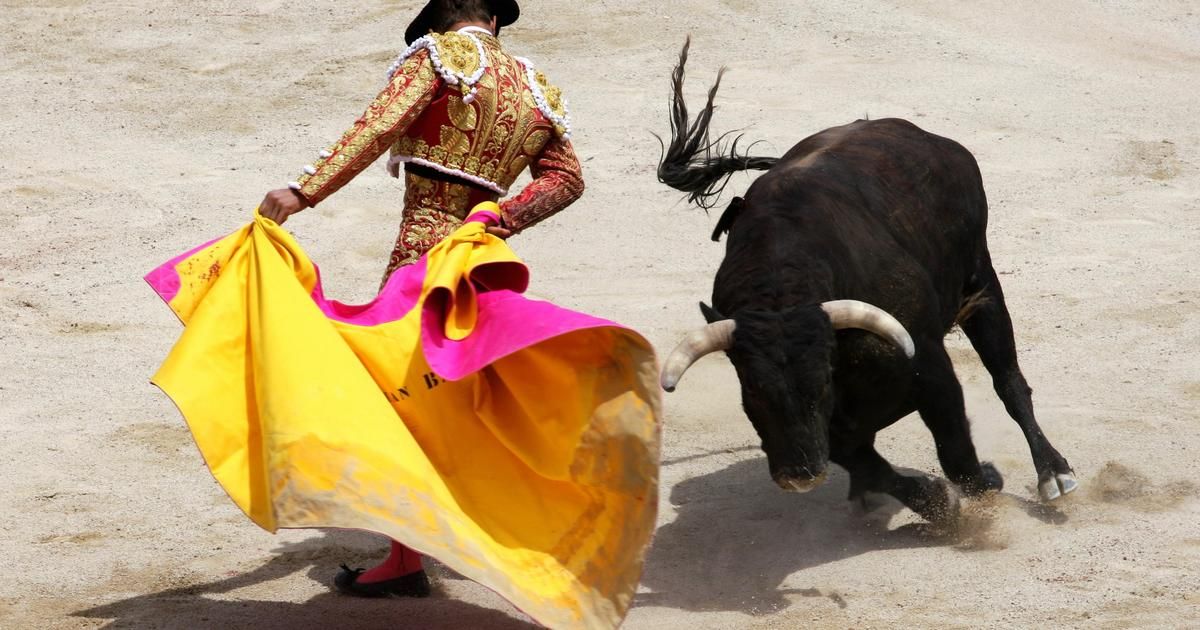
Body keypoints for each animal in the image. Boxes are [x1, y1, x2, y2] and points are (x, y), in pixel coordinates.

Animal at [657, 40, 1080, 520]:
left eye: (822, 380)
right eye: (752, 390)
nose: (799, 475)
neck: (783, 293)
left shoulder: (930, 368)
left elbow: (956, 452)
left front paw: (983, 484)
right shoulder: (837, 432)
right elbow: (873, 466)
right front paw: (933, 502)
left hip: (981, 281)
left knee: (1008, 379)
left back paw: (1054, 474)